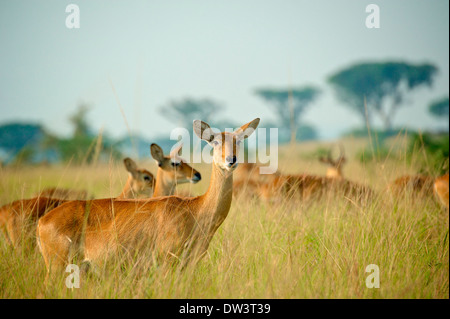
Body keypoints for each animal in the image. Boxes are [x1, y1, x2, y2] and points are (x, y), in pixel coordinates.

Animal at [36, 118, 260, 276]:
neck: (195, 211)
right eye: (214, 141)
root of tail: (42, 221)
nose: (231, 160)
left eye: (239, 140)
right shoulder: (167, 262)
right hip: (56, 268)